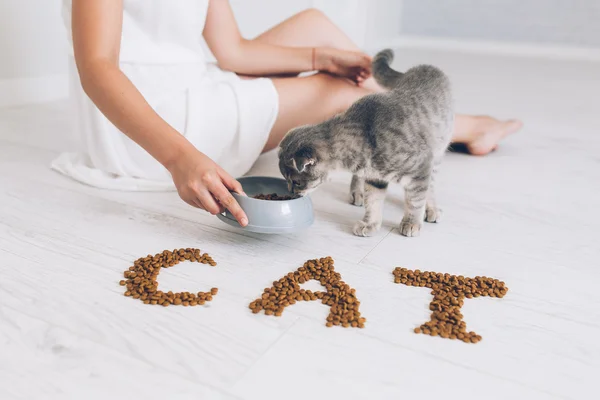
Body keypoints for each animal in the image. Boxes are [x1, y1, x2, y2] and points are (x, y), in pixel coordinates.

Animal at [278, 50, 452, 238]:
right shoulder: (375, 178)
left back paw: (432, 208)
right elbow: (373, 201)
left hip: (438, 153)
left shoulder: (420, 166)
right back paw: (357, 193)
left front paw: (411, 222)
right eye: (287, 180)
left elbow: (415, 200)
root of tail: (422, 67)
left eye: (296, 182)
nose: (290, 192)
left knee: (430, 186)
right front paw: (370, 223)